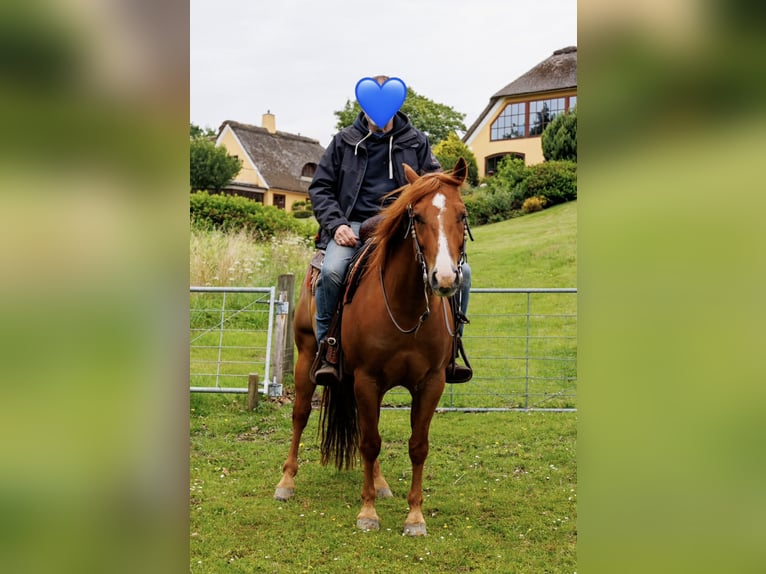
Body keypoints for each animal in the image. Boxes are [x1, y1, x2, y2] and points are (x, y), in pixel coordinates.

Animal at [274, 157, 471, 536]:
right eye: (417, 217)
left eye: (462, 214)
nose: (444, 279)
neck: (405, 306)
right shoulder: (367, 379)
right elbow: (369, 443)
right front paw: (367, 512)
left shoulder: (431, 383)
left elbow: (417, 446)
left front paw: (415, 517)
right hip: (307, 359)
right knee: (301, 415)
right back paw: (286, 482)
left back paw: (380, 484)